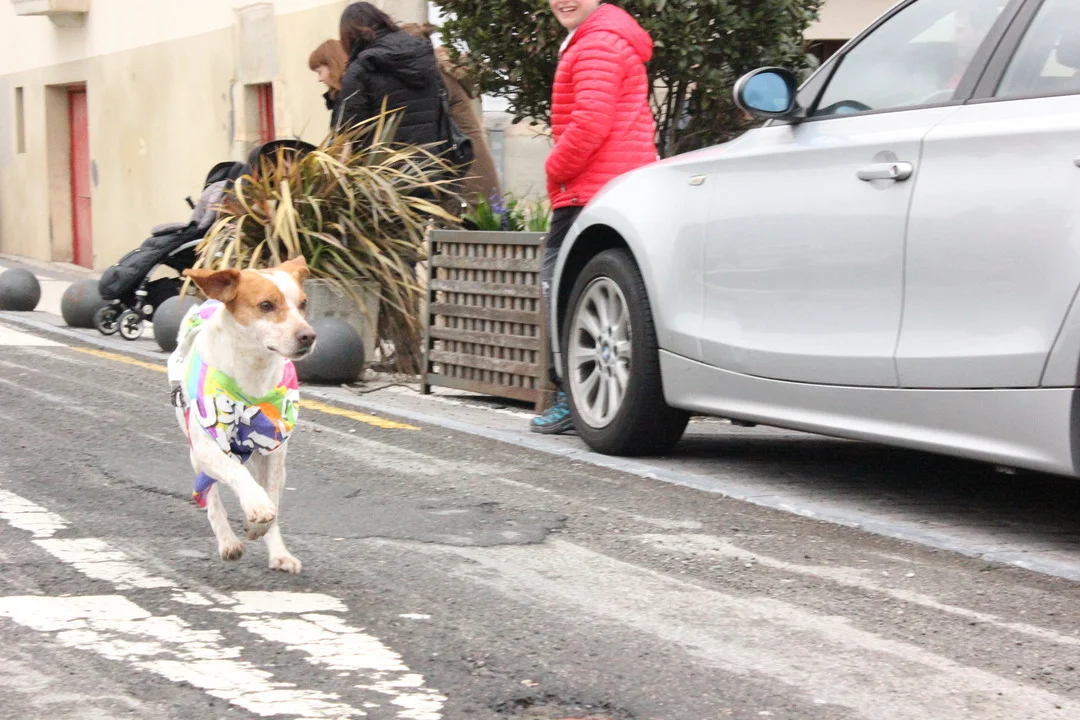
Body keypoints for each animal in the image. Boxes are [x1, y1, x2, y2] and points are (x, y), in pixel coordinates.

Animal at [168, 256, 316, 573]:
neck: (253, 371)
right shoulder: (206, 446)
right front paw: (254, 508)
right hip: (197, 453)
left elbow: (272, 499)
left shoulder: (275, 450)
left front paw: (267, 533)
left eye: (303, 303)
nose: (308, 336)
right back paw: (227, 541)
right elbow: (235, 475)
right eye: (266, 305)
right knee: (211, 493)